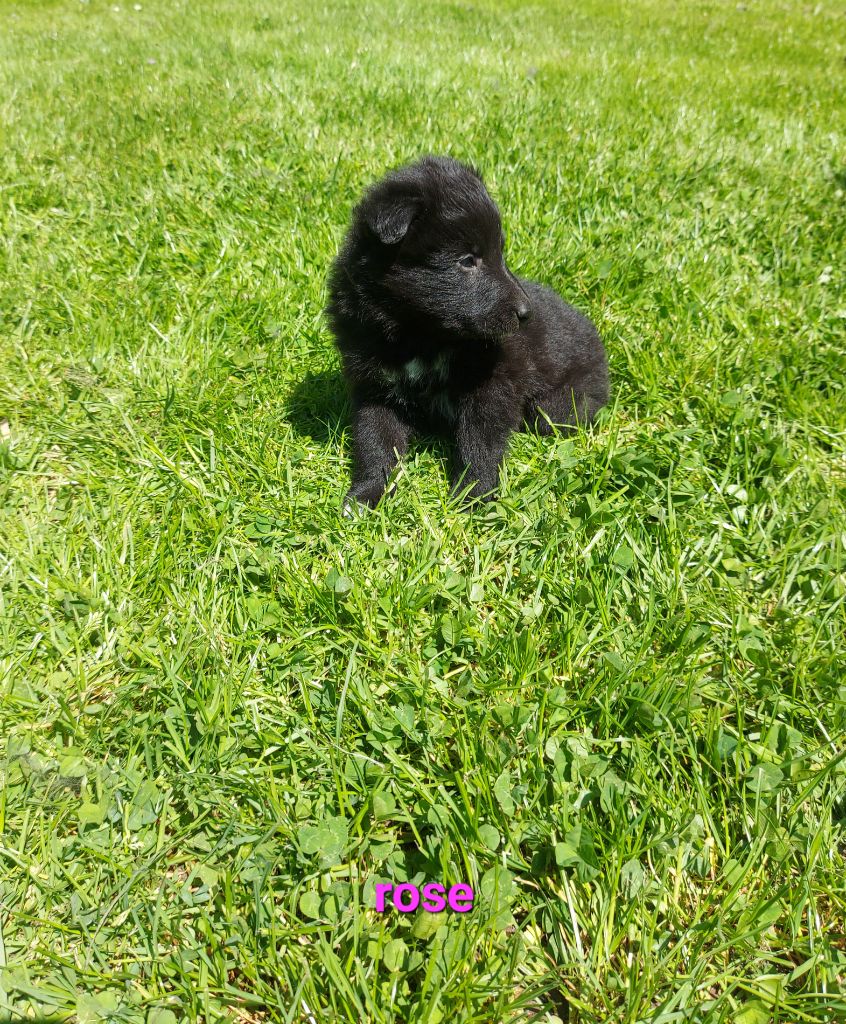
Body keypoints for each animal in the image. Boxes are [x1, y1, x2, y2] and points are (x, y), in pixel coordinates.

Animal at [326, 155, 609, 508]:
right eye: (466, 260)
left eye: (499, 253)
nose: (525, 313)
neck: (419, 336)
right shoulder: (375, 386)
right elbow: (376, 442)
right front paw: (367, 495)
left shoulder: (489, 388)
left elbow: (479, 443)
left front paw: (474, 495)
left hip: (559, 406)